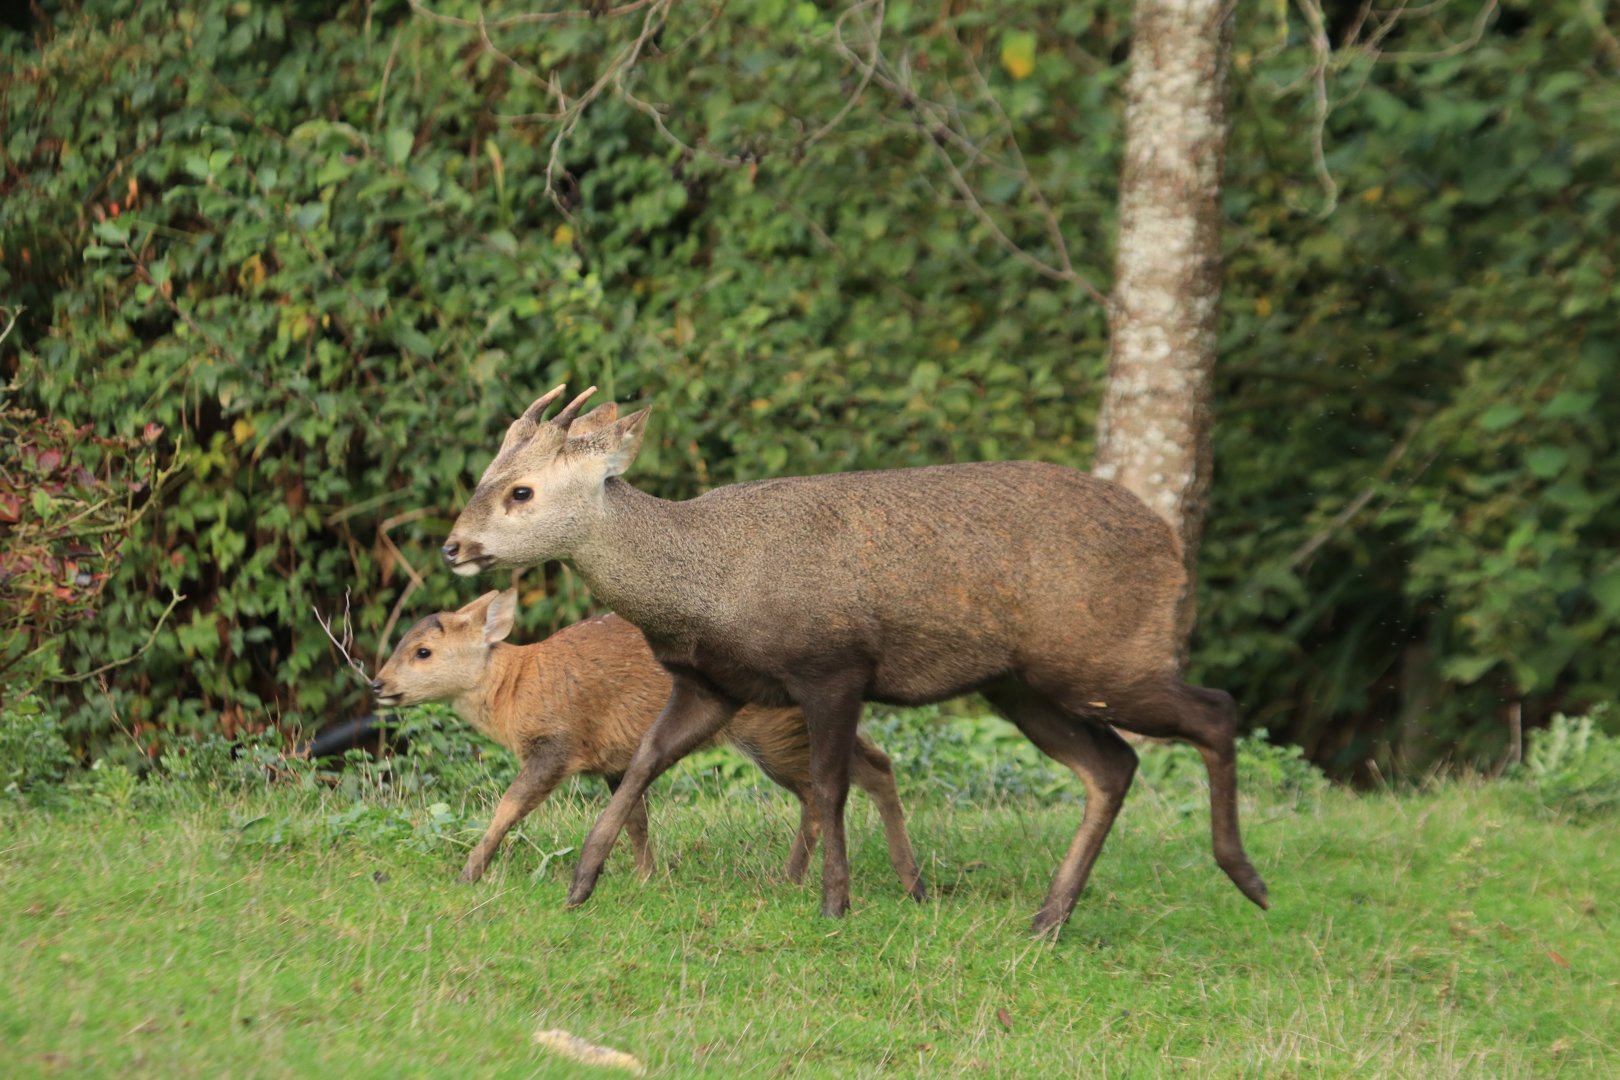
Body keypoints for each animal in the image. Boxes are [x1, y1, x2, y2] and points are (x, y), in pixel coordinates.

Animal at [369, 588, 924, 894]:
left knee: (825, 785)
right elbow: (636, 818)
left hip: (772, 730)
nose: (377, 684)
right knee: (871, 765)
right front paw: (645, 876)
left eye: (422, 651)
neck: (518, 690)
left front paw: (468, 873)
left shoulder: (556, 743)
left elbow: (508, 805)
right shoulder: (613, 757)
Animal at [440, 385, 1269, 936]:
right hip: (1022, 685)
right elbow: (645, 762)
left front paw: (834, 903)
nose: (454, 547)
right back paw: (1047, 918)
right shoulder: (713, 684)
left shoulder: (833, 666)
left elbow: (831, 784)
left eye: (521, 491)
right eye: (483, 476)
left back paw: (1246, 877)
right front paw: (582, 881)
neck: (712, 585)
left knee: (1214, 710)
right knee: (1112, 766)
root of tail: (1170, 543)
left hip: (1100, 656)